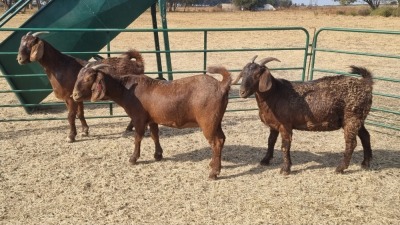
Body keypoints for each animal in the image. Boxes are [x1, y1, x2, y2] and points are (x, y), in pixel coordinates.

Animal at [72, 64, 231, 179]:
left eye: (88, 78)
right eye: (78, 76)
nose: (74, 95)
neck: (125, 89)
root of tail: (221, 86)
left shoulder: (138, 118)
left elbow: (138, 138)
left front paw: (133, 159)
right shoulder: (152, 119)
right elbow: (155, 135)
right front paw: (158, 155)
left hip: (208, 121)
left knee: (216, 142)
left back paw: (214, 173)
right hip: (217, 120)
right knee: (222, 139)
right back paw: (213, 164)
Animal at [236, 55, 374, 175]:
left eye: (257, 75)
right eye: (243, 73)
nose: (242, 92)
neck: (275, 94)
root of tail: (365, 84)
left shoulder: (285, 125)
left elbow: (285, 146)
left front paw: (285, 169)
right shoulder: (273, 125)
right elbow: (270, 142)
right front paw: (265, 160)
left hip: (352, 118)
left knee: (351, 143)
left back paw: (340, 168)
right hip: (359, 119)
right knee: (365, 136)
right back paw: (365, 163)